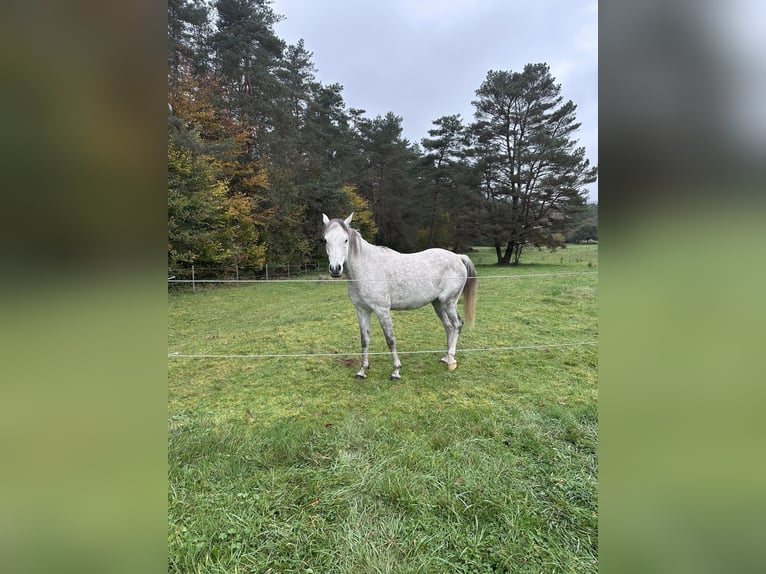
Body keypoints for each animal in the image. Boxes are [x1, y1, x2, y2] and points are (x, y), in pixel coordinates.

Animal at [320, 214, 476, 380]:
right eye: (325, 240)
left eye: (345, 240)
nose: (335, 269)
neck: (366, 267)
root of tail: (458, 257)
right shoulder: (362, 311)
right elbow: (365, 340)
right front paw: (362, 370)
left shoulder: (382, 311)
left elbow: (390, 339)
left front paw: (396, 371)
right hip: (438, 304)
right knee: (448, 326)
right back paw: (446, 358)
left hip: (449, 303)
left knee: (457, 324)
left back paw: (451, 361)